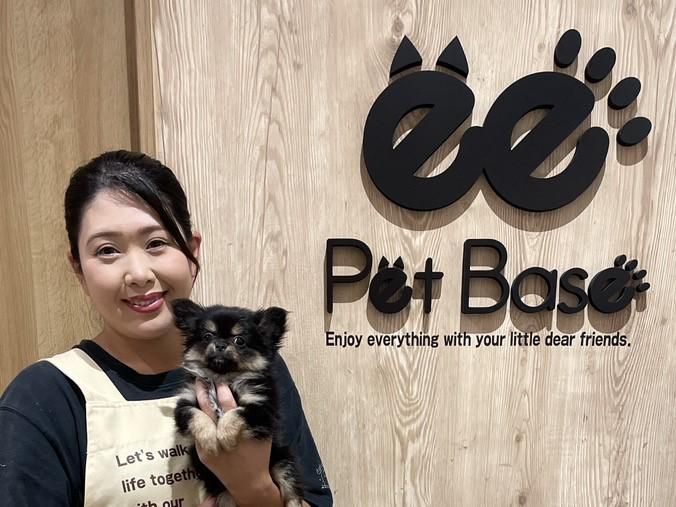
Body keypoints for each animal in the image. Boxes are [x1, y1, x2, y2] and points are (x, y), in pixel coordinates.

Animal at [170, 298, 304, 507]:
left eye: (239, 340)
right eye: (207, 336)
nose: (220, 344)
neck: (222, 377)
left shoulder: (262, 409)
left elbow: (238, 412)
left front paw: (224, 434)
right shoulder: (185, 403)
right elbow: (196, 415)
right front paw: (210, 438)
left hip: (283, 460)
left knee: (290, 487)